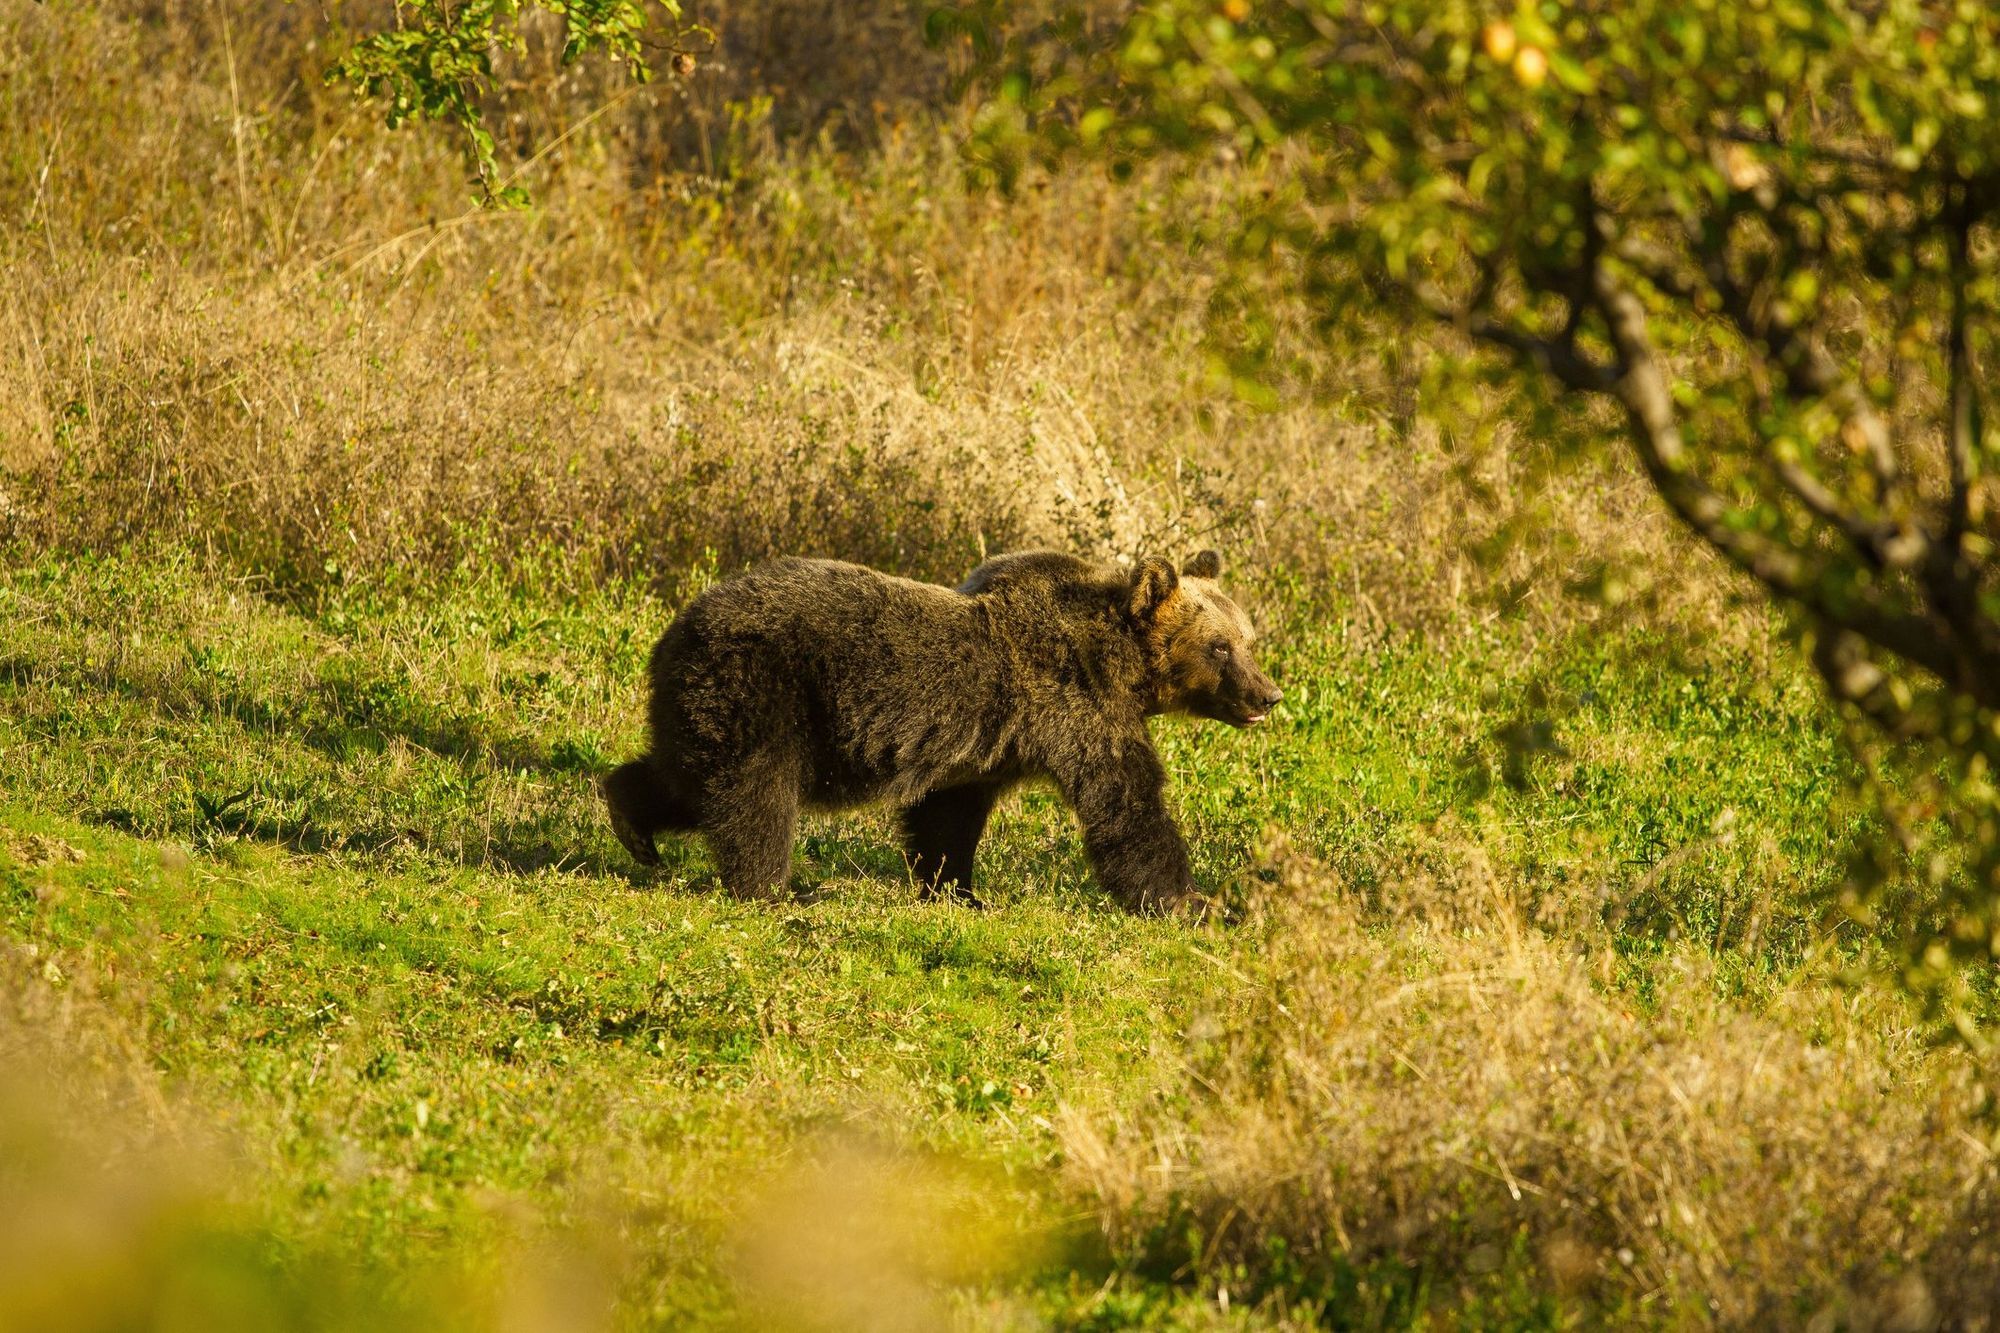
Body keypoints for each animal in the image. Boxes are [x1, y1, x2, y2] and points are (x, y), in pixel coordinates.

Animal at [596, 544, 1280, 908]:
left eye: (1249, 639)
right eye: (1220, 647)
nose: (1269, 694)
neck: (1120, 665)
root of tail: (676, 629)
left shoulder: (985, 750)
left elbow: (946, 817)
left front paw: (958, 889)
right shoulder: (1077, 711)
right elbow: (1128, 808)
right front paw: (1193, 902)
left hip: (707, 701)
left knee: (689, 778)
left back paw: (632, 823)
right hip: (766, 689)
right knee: (754, 796)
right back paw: (774, 888)